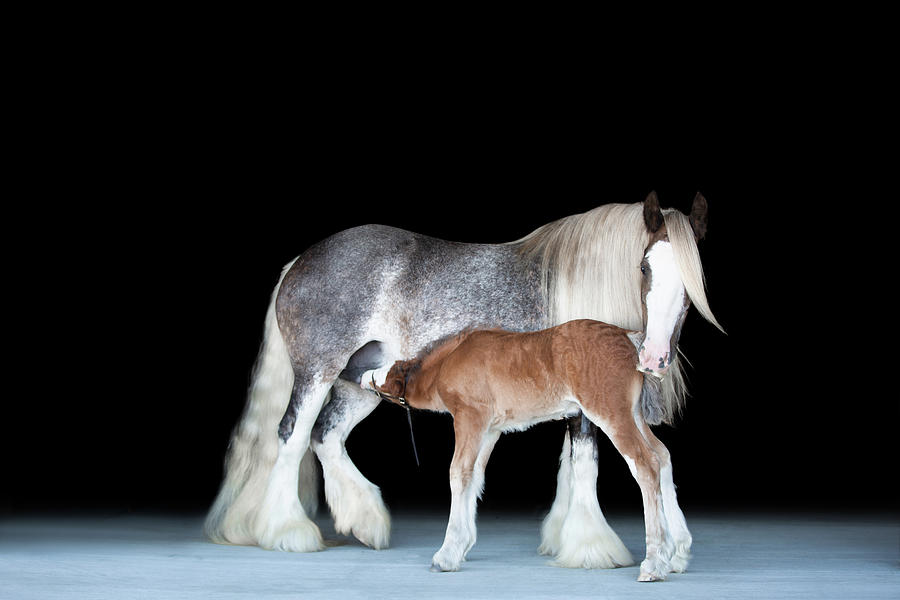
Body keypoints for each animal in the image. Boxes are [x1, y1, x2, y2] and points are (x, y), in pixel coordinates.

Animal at [206, 192, 724, 568]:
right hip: (318, 373)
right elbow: (586, 462)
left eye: (695, 277)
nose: (654, 357)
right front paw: (593, 546)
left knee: (325, 436)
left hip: (363, 383)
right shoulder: (584, 406)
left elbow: (587, 463)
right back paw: (287, 532)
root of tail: (298, 261)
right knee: (292, 437)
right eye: (645, 266)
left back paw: (365, 519)